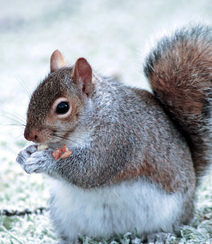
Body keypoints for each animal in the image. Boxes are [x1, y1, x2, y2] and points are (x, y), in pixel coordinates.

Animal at [17, 23, 212, 244]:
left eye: (63, 107)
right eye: (33, 96)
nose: (29, 136)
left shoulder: (118, 139)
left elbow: (90, 169)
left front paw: (45, 160)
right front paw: (25, 154)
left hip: (172, 212)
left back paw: (159, 234)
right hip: (62, 213)